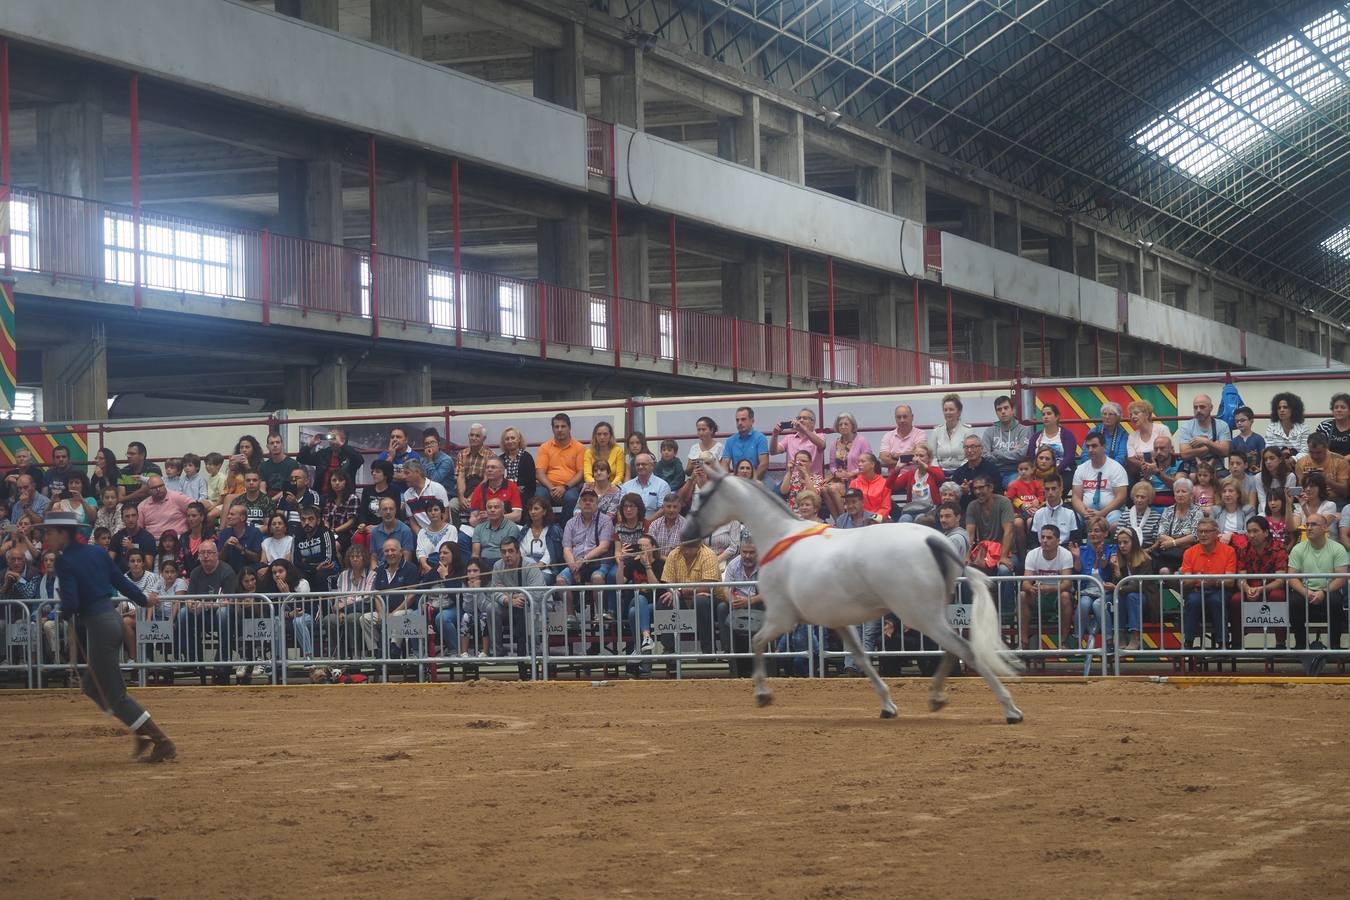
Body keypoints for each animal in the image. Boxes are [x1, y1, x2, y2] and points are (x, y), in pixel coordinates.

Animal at [685, 464, 1020, 723]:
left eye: (702, 496)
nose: (687, 534)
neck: (780, 537)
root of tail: (934, 540)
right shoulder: (837, 622)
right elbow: (861, 657)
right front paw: (887, 706)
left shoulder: (782, 617)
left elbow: (755, 642)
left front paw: (763, 694)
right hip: (936, 612)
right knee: (952, 648)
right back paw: (938, 698)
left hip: (919, 614)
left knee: (964, 649)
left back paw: (1010, 709)